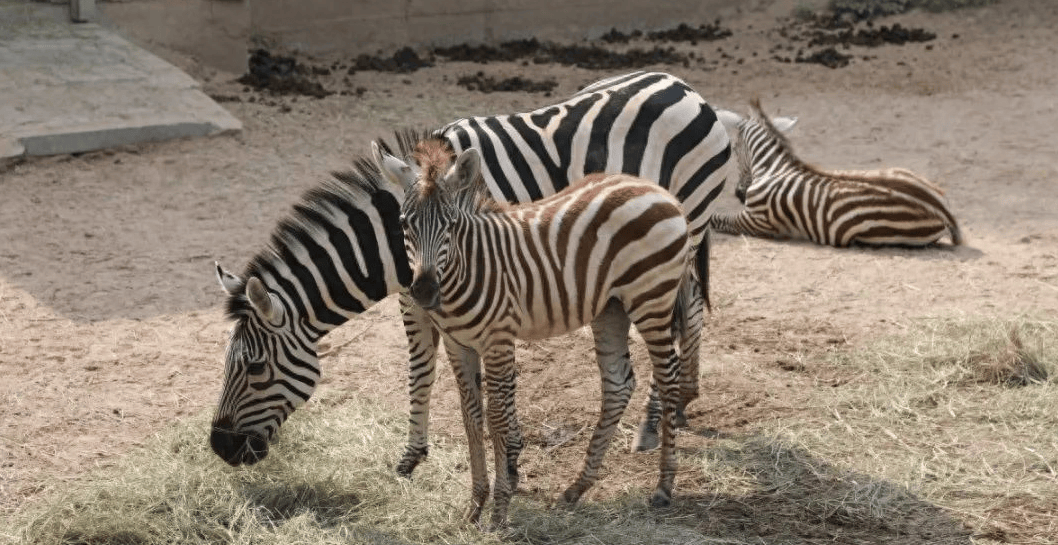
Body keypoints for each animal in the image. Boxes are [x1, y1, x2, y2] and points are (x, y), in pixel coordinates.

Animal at [208, 71, 736, 478]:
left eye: (255, 368)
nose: (219, 448)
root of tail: (685, 87)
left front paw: (503, 458)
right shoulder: (415, 295)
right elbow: (422, 368)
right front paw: (414, 457)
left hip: (682, 226)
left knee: (672, 318)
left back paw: (651, 425)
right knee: (690, 305)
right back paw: (681, 403)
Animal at [374, 138, 694, 531]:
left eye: (450, 225)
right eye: (405, 224)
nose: (423, 291)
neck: (469, 266)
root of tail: (657, 189)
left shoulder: (498, 340)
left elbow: (496, 417)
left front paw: (499, 510)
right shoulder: (458, 344)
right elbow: (471, 417)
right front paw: (474, 506)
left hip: (652, 299)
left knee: (668, 380)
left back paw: (664, 487)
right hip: (611, 308)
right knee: (618, 385)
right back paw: (576, 489)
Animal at [706, 99, 964, 247]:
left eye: (735, 149)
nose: (739, 194)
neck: (773, 167)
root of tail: (944, 209)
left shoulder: (753, 221)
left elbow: (715, 219)